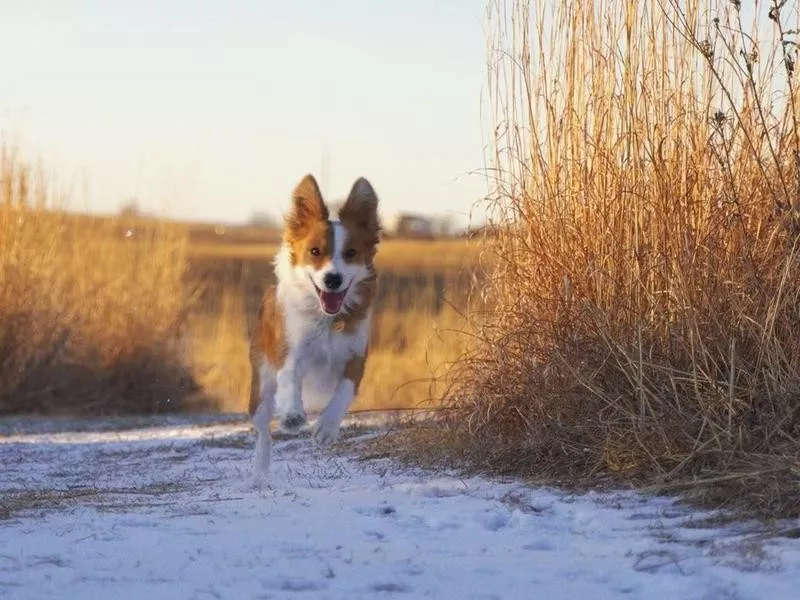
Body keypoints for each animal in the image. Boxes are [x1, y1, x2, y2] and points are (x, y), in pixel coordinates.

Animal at [247, 173, 382, 482]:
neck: (329, 320)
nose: (332, 279)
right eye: (315, 252)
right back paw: (259, 471)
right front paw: (293, 415)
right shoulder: (291, 351)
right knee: (263, 428)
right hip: (261, 381)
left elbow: (344, 390)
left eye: (351, 253)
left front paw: (326, 428)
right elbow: (290, 378)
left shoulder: (356, 356)